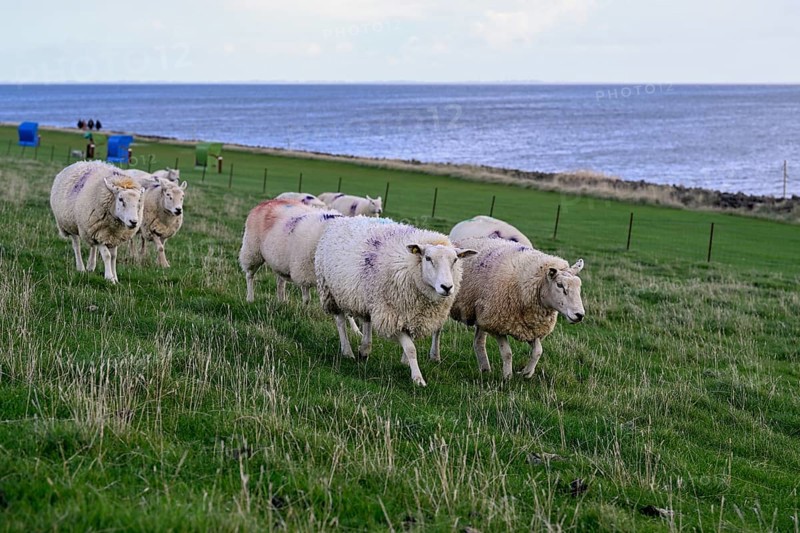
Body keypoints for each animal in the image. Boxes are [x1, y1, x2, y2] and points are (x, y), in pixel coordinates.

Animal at [315, 216, 476, 386]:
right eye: (428, 258)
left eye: (455, 260)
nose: (447, 287)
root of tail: (344, 218)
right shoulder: (393, 316)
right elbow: (411, 348)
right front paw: (417, 378)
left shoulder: (414, 315)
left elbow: (411, 342)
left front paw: (405, 362)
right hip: (330, 291)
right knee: (340, 321)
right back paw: (347, 351)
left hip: (369, 297)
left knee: (367, 320)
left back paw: (365, 349)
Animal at [430, 237, 584, 379]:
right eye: (560, 285)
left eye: (579, 285)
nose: (580, 315)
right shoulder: (497, 323)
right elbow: (507, 353)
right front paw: (507, 376)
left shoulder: (529, 326)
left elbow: (538, 351)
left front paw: (526, 373)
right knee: (438, 330)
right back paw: (435, 356)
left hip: (482, 313)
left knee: (478, 341)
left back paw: (485, 368)